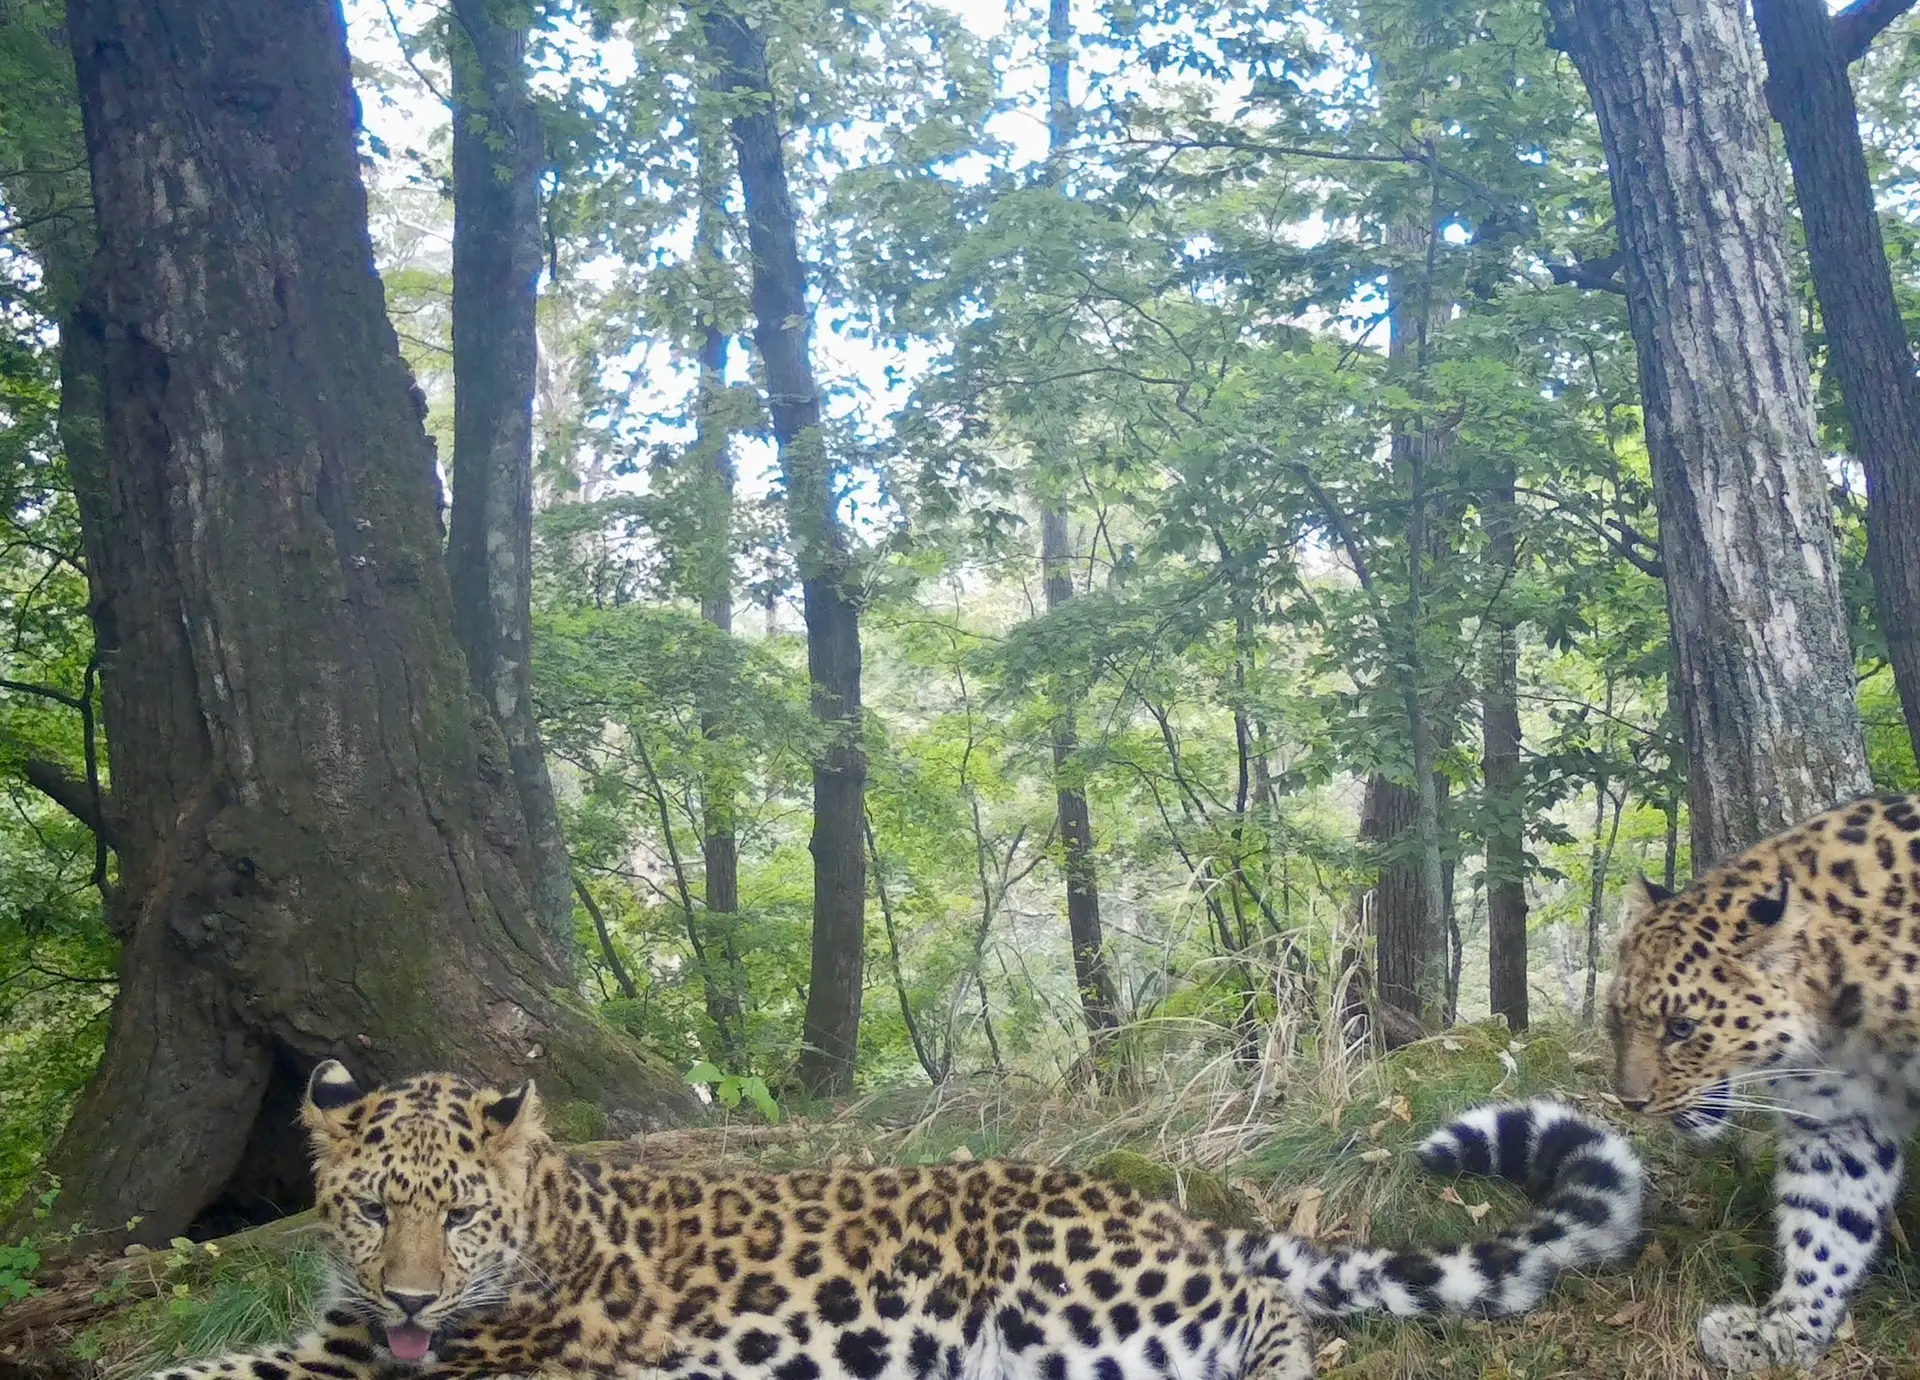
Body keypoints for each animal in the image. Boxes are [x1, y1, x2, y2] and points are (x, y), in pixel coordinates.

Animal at [1607, 791, 1920, 1373]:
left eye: (1681, 1027)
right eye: (1617, 1017)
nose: (1631, 1101)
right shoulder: (1841, 1124)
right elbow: (1827, 1224)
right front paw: (1782, 1331)